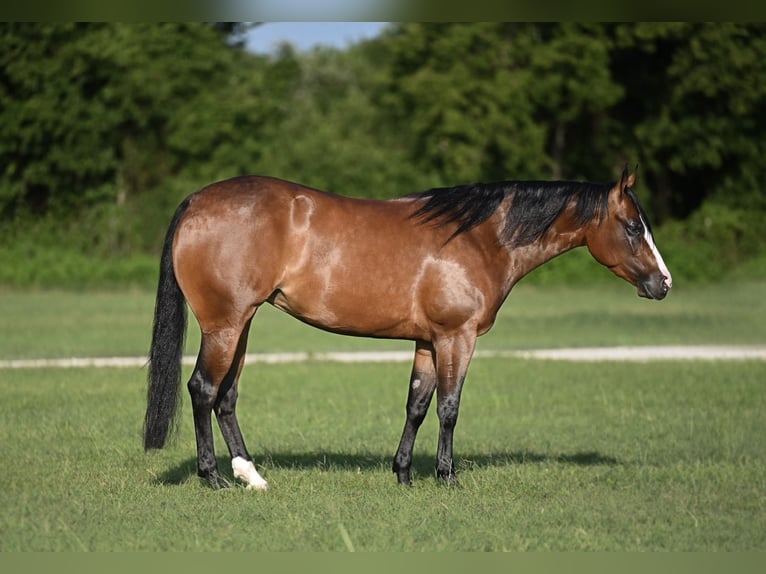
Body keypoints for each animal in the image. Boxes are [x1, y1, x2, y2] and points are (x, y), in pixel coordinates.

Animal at [143, 166, 672, 489]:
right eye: (632, 226)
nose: (663, 283)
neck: (479, 238)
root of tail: (196, 200)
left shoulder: (427, 341)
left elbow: (417, 405)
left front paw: (402, 473)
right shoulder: (456, 337)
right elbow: (449, 408)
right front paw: (447, 476)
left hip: (243, 323)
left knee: (226, 396)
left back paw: (251, 476)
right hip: (225, 325)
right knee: (203, 389)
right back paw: (212, 476)